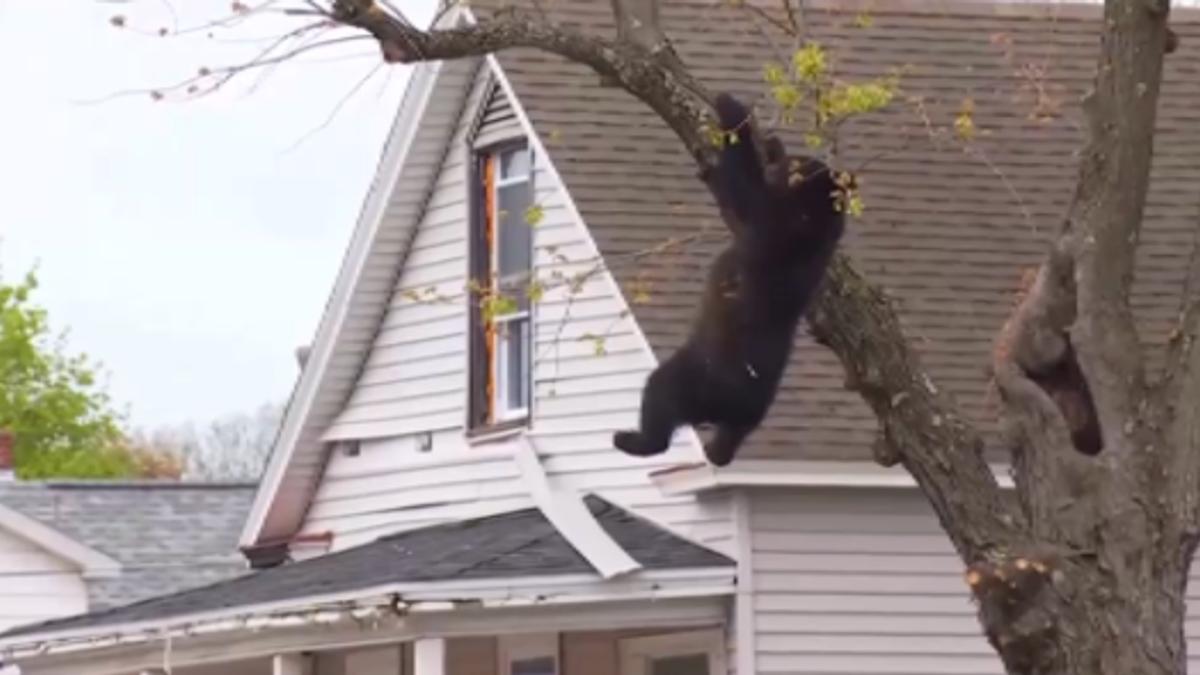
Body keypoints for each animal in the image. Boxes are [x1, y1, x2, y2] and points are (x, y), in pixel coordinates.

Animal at [611, 92, 854, 467]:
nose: (792, 157)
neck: (814, 217)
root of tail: (732, 405)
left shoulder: (770, 218)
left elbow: (740, 186)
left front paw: (731, 107)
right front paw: (771, 143)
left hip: (695, 374)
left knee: (660, 397)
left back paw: (633, 440)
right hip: (748, 414)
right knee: (730, 438)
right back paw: (717, 450)